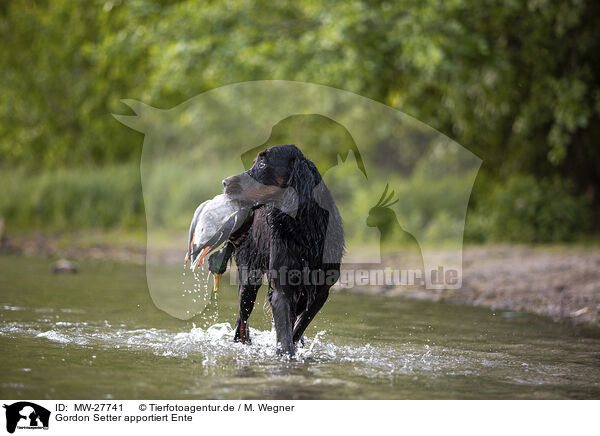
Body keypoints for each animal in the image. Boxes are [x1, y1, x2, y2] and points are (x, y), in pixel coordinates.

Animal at [221, 145, 344, 356]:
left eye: (263, 164)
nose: (225, 182)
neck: (304, 229)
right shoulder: (282, 288)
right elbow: (286, 334)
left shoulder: (321, 291)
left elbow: (297, 327)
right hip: (249, 276)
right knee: (242, 322)